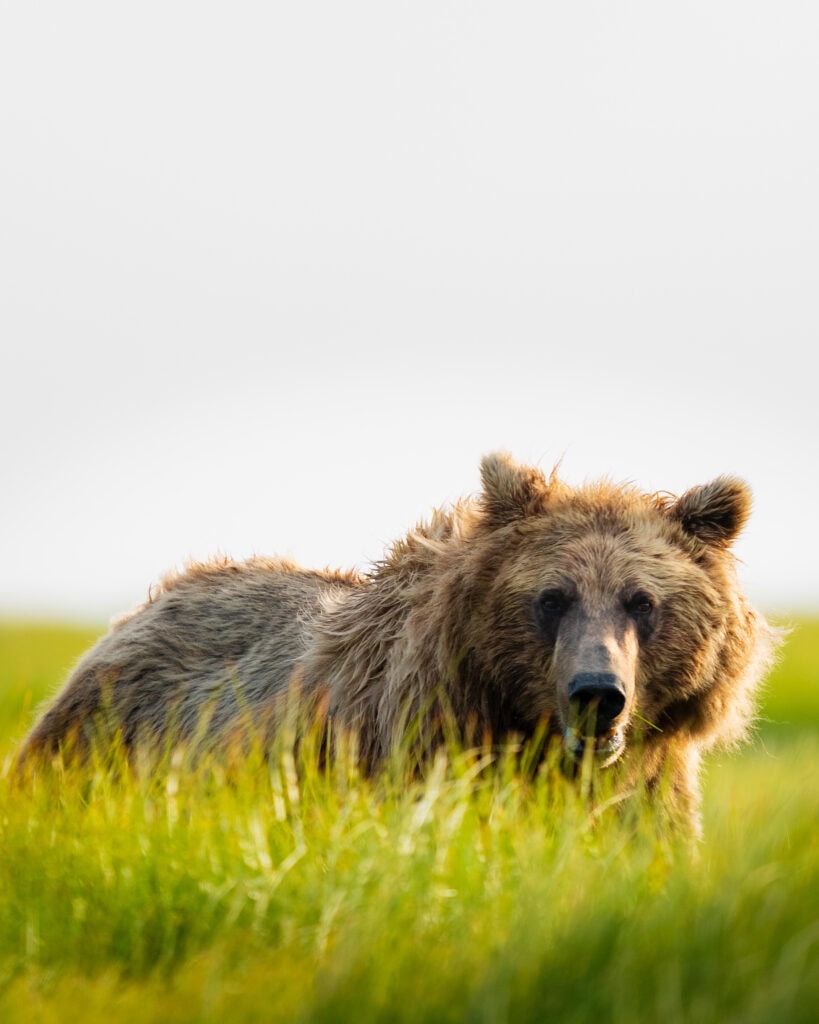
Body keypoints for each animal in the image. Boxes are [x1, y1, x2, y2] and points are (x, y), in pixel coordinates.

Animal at [17, 452, 777, 833]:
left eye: (642, 602)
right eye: (551, 598)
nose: (598, 695)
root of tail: (142, 609)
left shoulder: (646, 790)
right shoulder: (413, 750)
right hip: (99, 742)